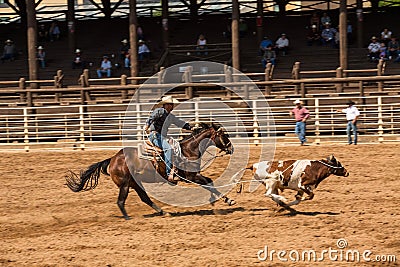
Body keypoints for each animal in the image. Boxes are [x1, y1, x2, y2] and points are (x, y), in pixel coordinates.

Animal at [65, 123, 234, 220]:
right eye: (224, 135)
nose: (231, 148)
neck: (188, 150)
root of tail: (113, 159)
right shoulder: (192, 176)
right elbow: (209, 183)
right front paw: (226, 200)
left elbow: (209, 183)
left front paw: (218, 201)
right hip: (125, 185)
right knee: (121, 201)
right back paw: (128, 218)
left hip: (135, 183)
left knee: (144, 198)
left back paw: (163, 212)